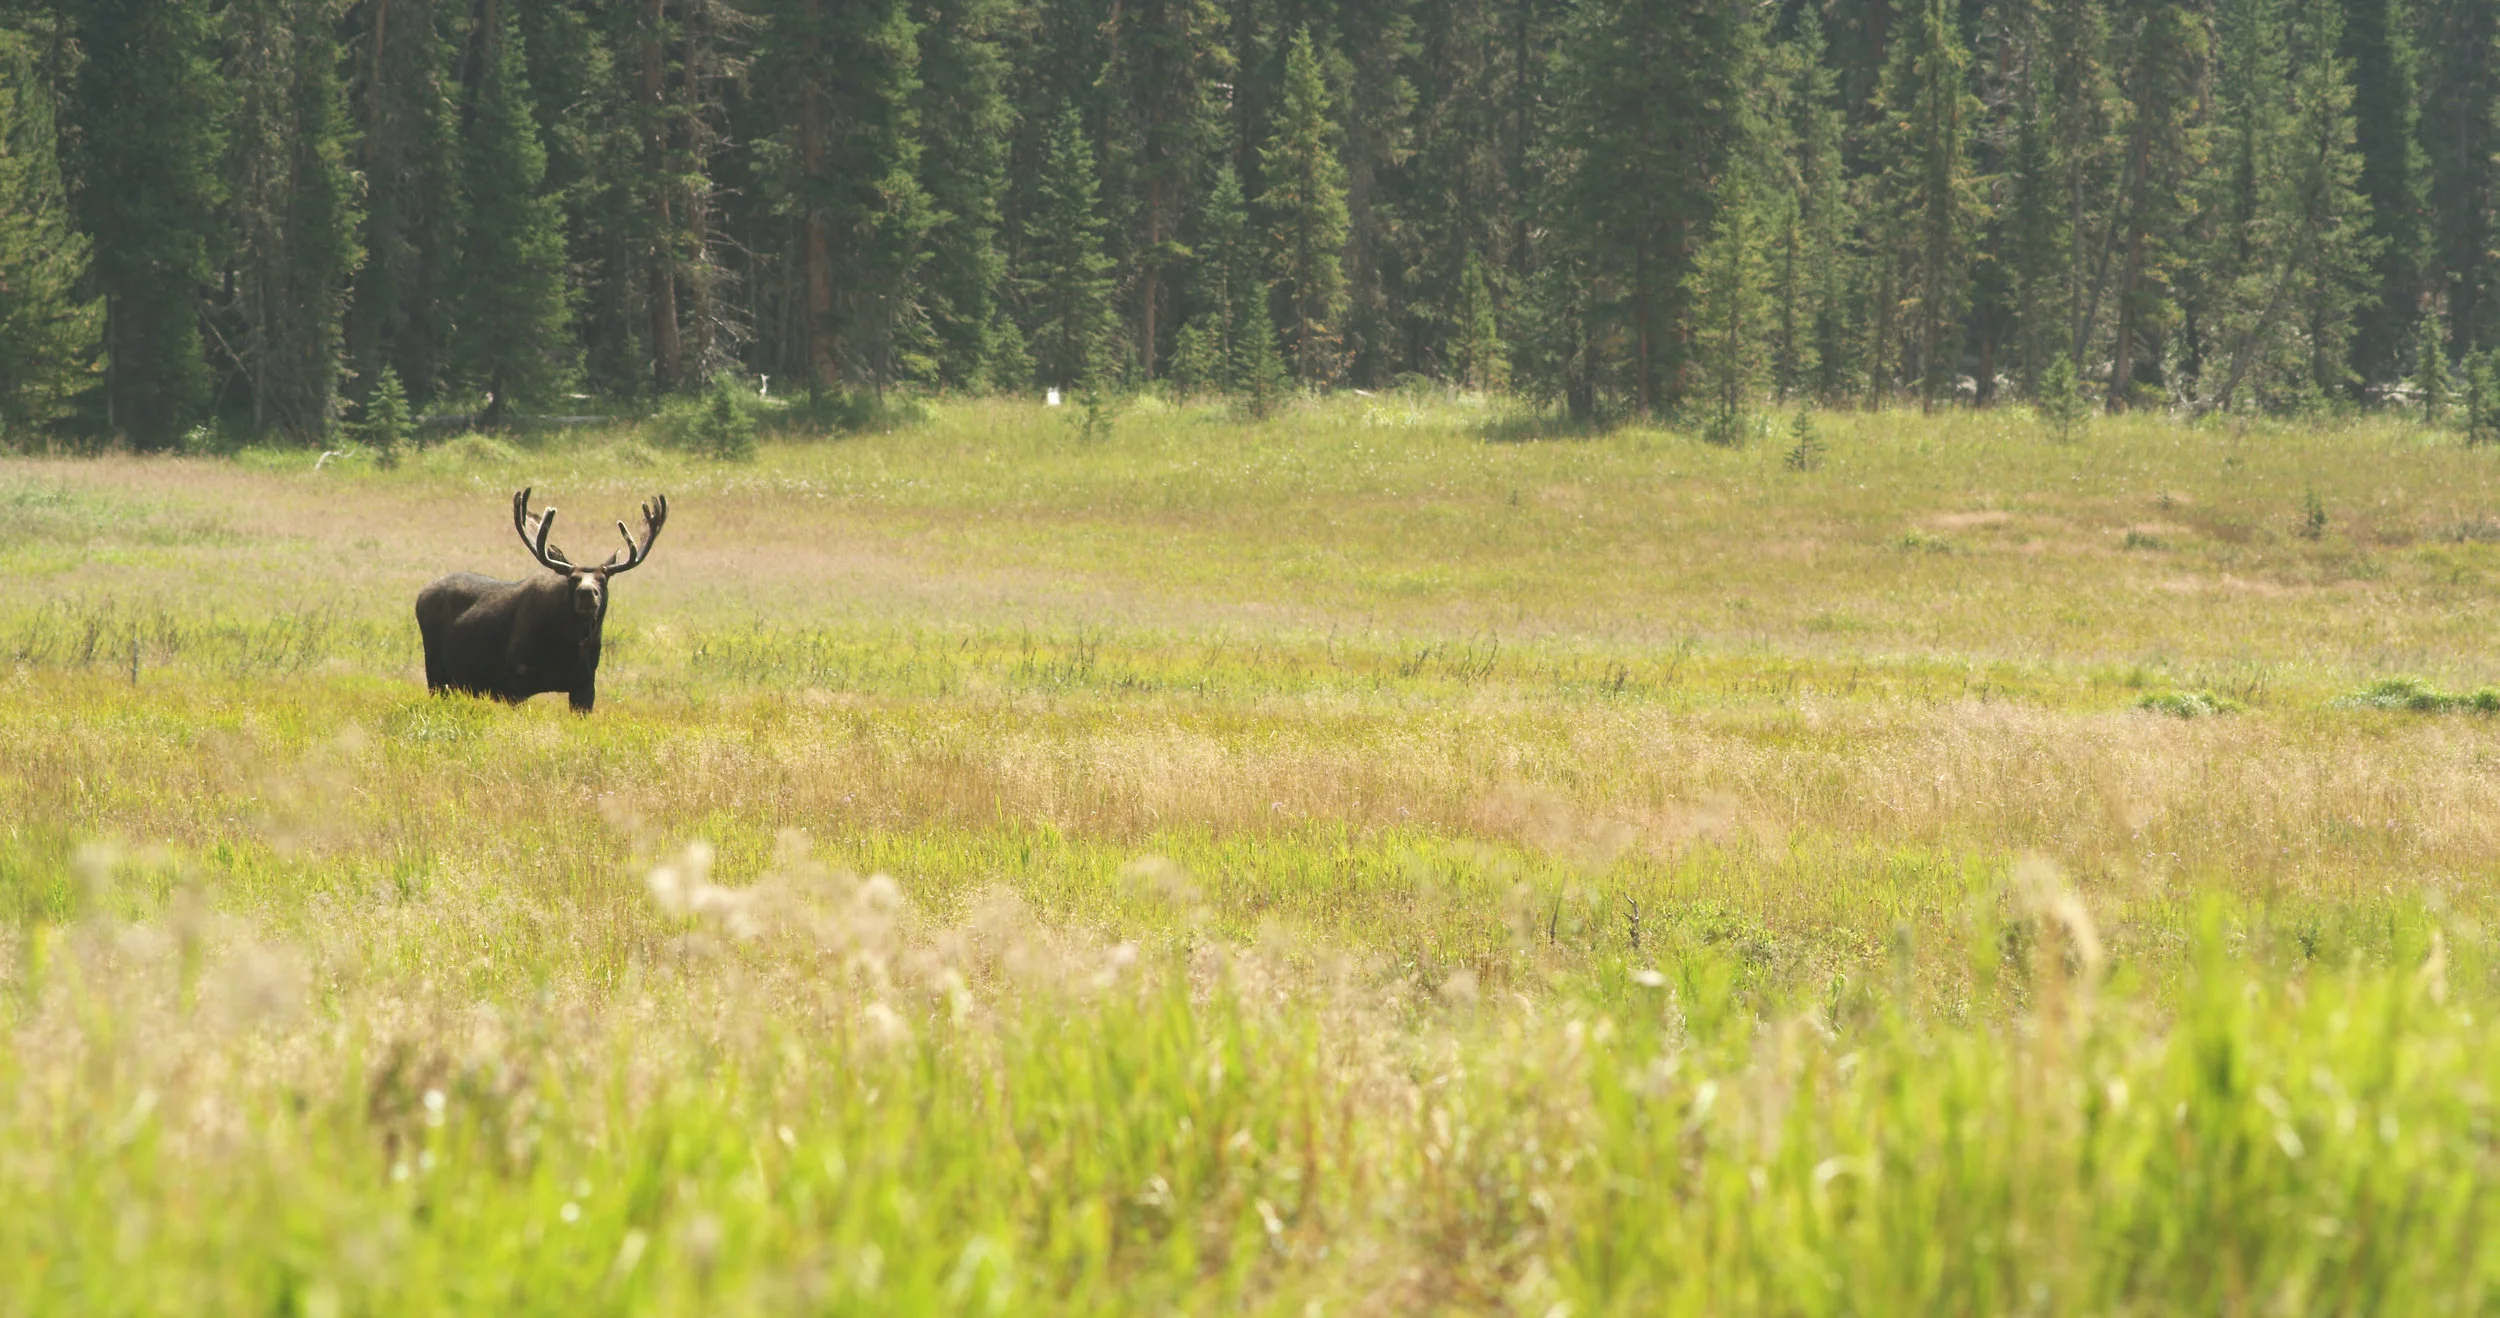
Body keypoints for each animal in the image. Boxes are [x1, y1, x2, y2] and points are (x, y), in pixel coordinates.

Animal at [415, 489, 668, 712]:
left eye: (603, 580)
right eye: (573, 579)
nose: (587, 593)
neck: (567, 647)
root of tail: (420, 595)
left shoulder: (585, 684)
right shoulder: (515, 680)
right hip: (436, 673)